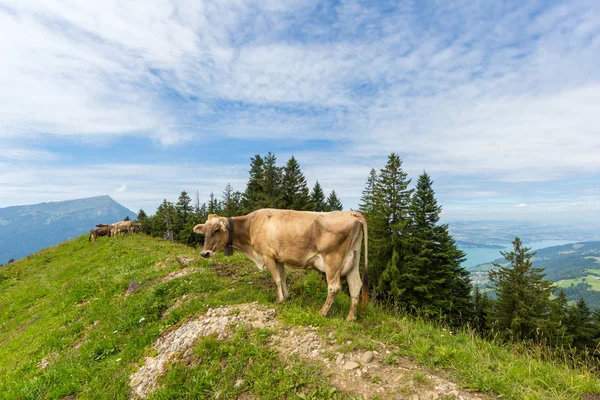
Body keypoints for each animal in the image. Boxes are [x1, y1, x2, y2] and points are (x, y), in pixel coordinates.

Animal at [195, 208, 368, 320]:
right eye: (204, 231)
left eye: (217, 230)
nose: (204, 253)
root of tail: (350, 213)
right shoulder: (279, 258)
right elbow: (283, 278)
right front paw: (287, 297)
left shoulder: (268, 256)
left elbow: (276, 279)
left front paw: (280, 300)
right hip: (354, 259)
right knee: (355, 286)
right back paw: (350, 318)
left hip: (333, 260)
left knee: (334, 287)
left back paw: (322, 312)